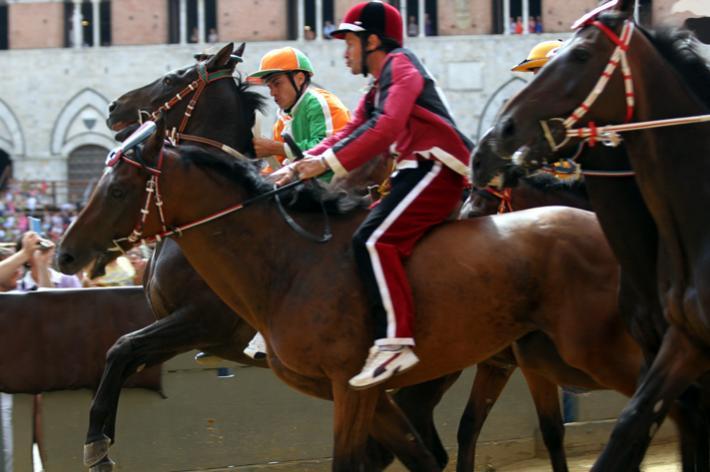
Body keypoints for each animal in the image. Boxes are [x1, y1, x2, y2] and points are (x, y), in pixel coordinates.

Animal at [57, 121, 644, 472]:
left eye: (117, 189)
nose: (64, 253)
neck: (289, 260)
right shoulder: (363, 391)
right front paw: (97, 439)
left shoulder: (342, 383)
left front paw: (98, 443)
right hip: (534, 358)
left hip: (580, 354)